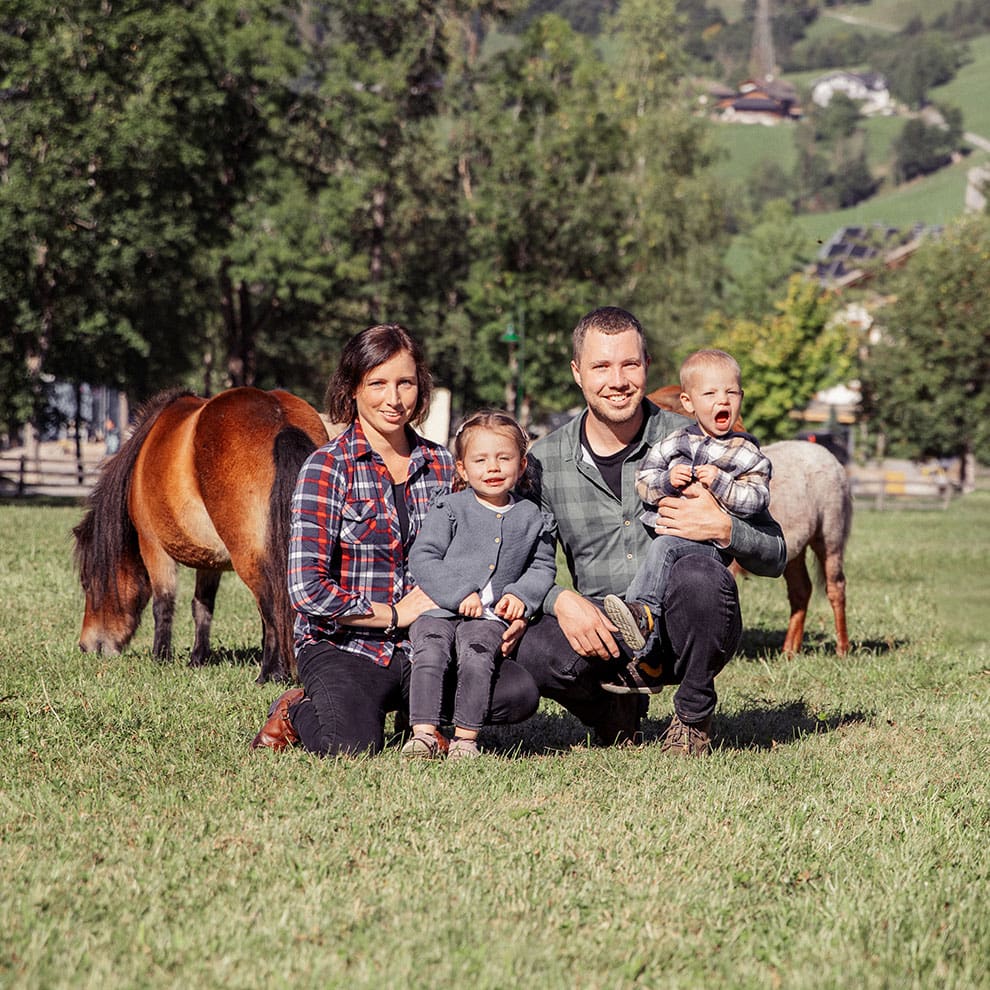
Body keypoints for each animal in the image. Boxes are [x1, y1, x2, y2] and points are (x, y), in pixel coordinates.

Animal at [74, 386, 330, 680]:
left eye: (87, 583)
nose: (87, 646)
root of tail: (280, 417)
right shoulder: (210, 561)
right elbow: (202, 606)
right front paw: (198, 657)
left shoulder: (152, 547)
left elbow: (163, 604)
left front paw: (160, 656)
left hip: (249, 557)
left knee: (270, 603)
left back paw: (270, 672)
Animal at [652, 388, 852, 660]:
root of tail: (832, 460)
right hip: (794, 551)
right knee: (801, 590)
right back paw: (789, 651)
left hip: (830, 536)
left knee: (835, 586)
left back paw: (842, 649)